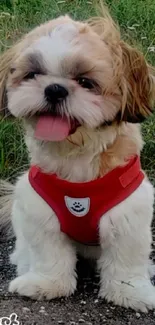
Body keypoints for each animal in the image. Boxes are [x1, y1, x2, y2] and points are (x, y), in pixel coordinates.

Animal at [0, 3, 155, 312]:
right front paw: (46, 284)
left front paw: (131, 292)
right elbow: (49, 253)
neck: (76, 155)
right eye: (33, 74)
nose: (55, 89)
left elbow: (126, 259)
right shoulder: (39, 212)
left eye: (86, 82)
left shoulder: (129, 213)